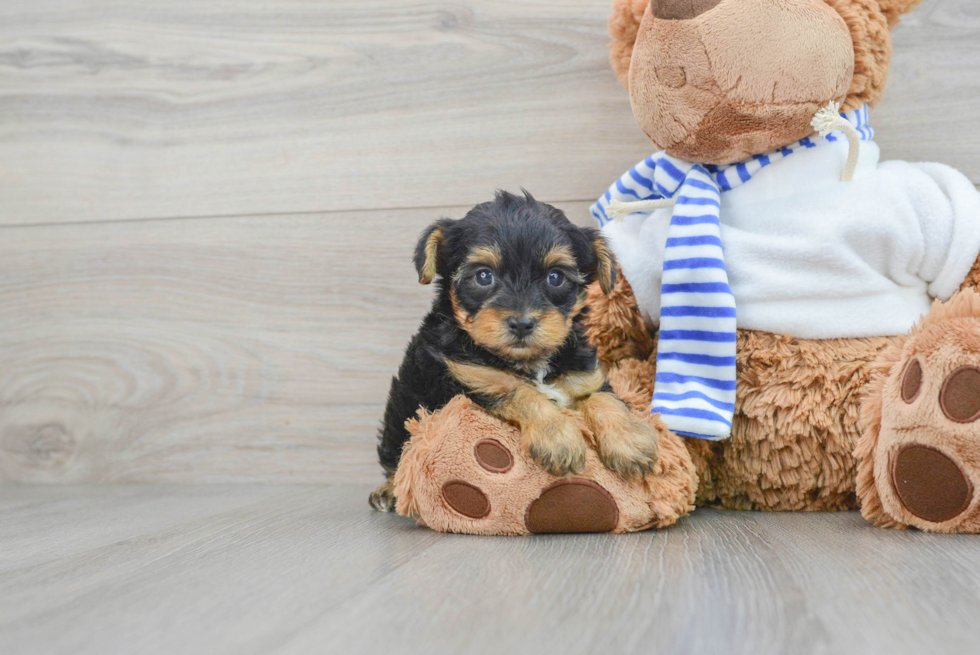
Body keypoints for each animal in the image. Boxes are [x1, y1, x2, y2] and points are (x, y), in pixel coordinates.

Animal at [372, 192, 664, 516]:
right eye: (483, 276)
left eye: (555, 277)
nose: (522, 323)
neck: (530, 362)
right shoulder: (472, 382)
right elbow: (522, 393)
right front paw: (559, 439)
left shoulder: (584, 376)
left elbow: (603, 398)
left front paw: (629, 441)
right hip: (400, 416)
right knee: (396, 457)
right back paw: (387, 491)